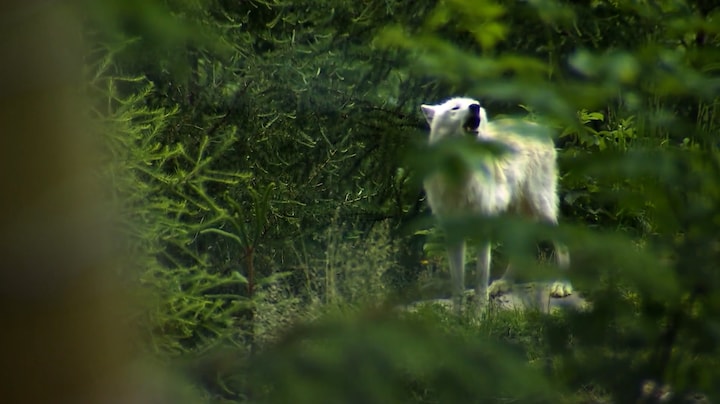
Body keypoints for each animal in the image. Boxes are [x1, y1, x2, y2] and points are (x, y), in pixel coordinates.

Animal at [421, 97, 571, 312]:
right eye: (455, 108)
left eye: (475, 104)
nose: (475, 107)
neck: (460, 173)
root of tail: (534, 126)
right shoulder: (454, 232)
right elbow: (457, 284)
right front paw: (457, 316)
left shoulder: (482, 231)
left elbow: (480, 281)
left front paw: (478, 315)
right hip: (510, 220)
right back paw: (502, 284)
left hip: (542, 208)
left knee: (562, 243)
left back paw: (562, 284)